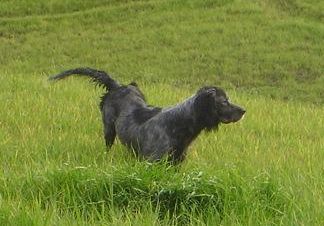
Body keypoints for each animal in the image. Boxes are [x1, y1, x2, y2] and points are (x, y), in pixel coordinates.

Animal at [49, 67, 244, 162]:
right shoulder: (152, 160)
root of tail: (118, 86)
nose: (244, 110)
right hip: (108, 129)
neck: (179, 124)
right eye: (224, 102)